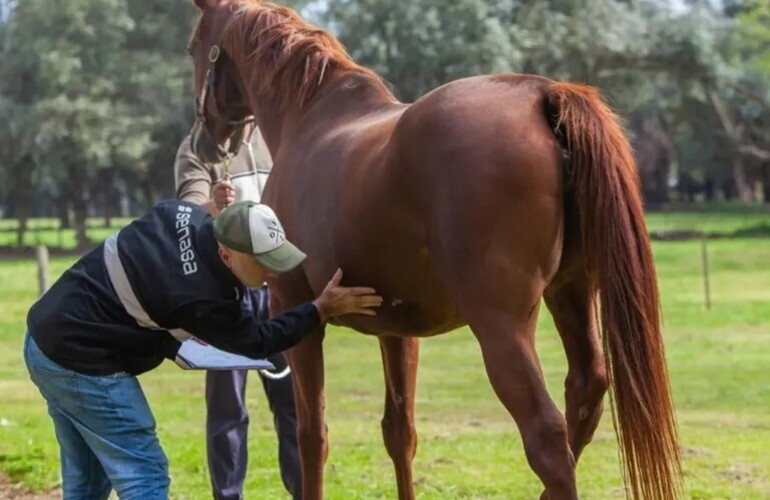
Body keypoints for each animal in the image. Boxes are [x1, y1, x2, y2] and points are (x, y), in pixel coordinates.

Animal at [186, 1, 680, 498]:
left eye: (193, 46)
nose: (204, 141)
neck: (310, 118)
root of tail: (543, 94)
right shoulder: (396, 329)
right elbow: (399, 432)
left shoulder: (296, 309)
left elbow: (311, 435)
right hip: (571, 294)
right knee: (585, 391)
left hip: (501, 324)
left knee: (547, 437)